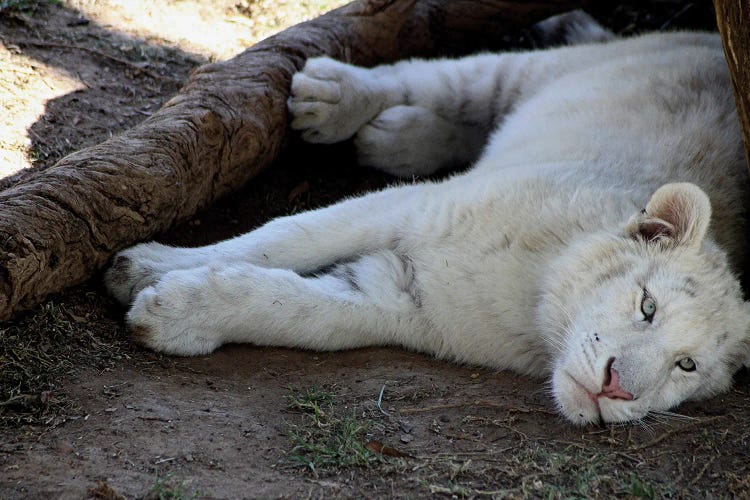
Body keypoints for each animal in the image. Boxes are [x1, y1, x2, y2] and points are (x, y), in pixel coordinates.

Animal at [104, 11, 750, 424]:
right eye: (647, 305)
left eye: (687, 365)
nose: (619, 390)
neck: (535, 305)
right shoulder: (411, 206)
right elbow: (283, 236)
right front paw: (145, 267)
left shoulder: (403, 303)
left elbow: (296, 309)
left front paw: (173, 313)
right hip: (537, 71)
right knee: (437, 77)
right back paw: (332, 98)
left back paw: (392, 140)